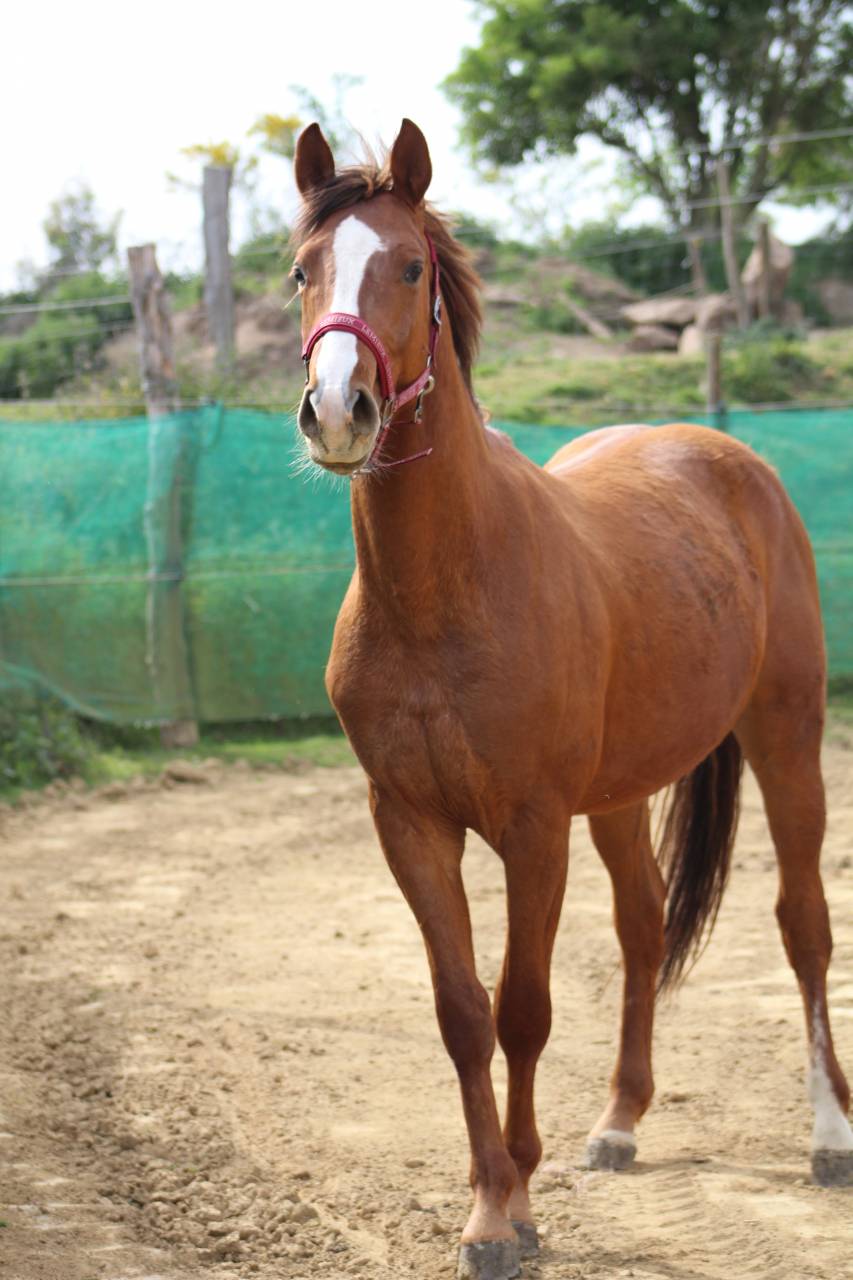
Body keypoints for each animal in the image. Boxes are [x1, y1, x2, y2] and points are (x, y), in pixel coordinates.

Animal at [290, 118, 852, 1280]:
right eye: (301, 271)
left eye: (408, 268)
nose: (336, 410)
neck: (446, 585)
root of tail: (728, 457)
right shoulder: (409, 824)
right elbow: (462, 1011)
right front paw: (489, 1205)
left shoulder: (532, 827)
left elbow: (523, 1008)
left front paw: (517, 1199)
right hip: (623, 795)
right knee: (643, 928)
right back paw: (619, 1122)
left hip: (786, 739)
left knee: (803, 926)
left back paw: (829, 1134)